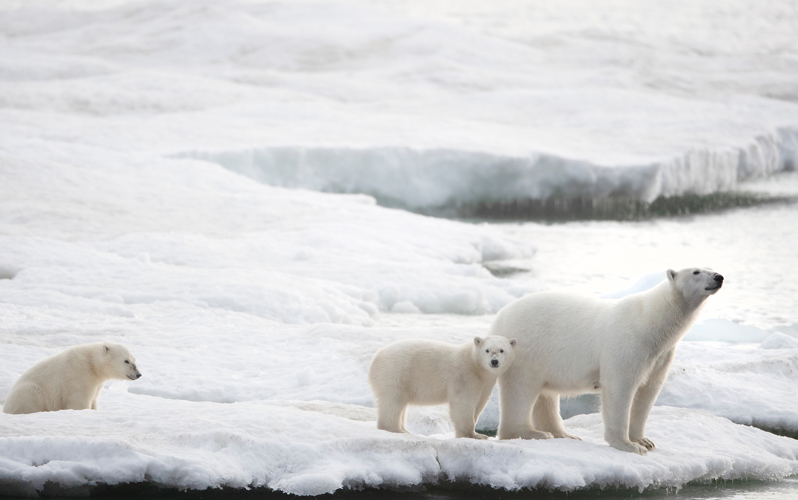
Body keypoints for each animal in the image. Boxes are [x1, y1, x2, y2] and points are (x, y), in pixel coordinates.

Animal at [3, 344, 143, 414]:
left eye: (134, 359)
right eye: (126, 360)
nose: (138, 374)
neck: (91, 364)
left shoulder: (97, 382)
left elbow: (94, 400)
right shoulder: (78, 377)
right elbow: (79, 401)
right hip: (29, 391)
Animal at [370, 336, 520, 438]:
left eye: (502, 350)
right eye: (487, 350)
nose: (494, 361)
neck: (476, 366)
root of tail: (376, 357)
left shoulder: (486, 383)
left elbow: (479, 403)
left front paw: (477, 433)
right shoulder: (464, 376)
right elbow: (463, 403)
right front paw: (472, 435)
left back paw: (405, 430)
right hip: (395, 372)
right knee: (393, 401)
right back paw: (396, 429)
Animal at [490, 268, 728, 456]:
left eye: (710, 267)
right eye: (696, 271)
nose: (719, 277)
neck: (650, 321)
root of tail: (498, 317)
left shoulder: (659, 355)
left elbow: (648, 391)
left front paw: (644, 441)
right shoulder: (628, 344)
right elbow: (620, 387)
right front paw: (628, 445)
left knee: (545, 395)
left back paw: (565, 434)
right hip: (525, 349)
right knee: (521, 388)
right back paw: (531, 433)